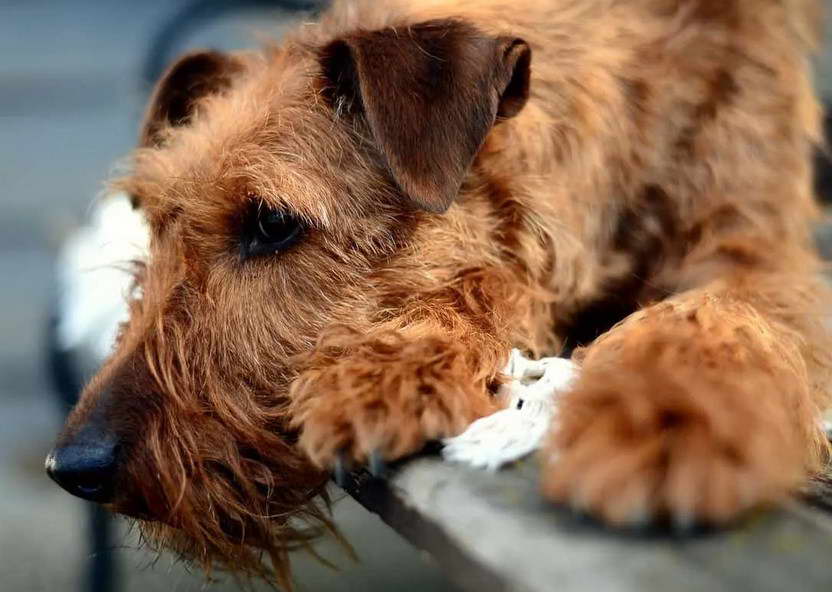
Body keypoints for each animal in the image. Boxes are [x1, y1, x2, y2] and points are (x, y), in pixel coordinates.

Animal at [47, 0, 832, 588]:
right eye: (150, 223)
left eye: (270, 222)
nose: (72, 467)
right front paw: (400, 362)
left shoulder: (755, 245)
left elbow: (719, 306)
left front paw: (660, 418)